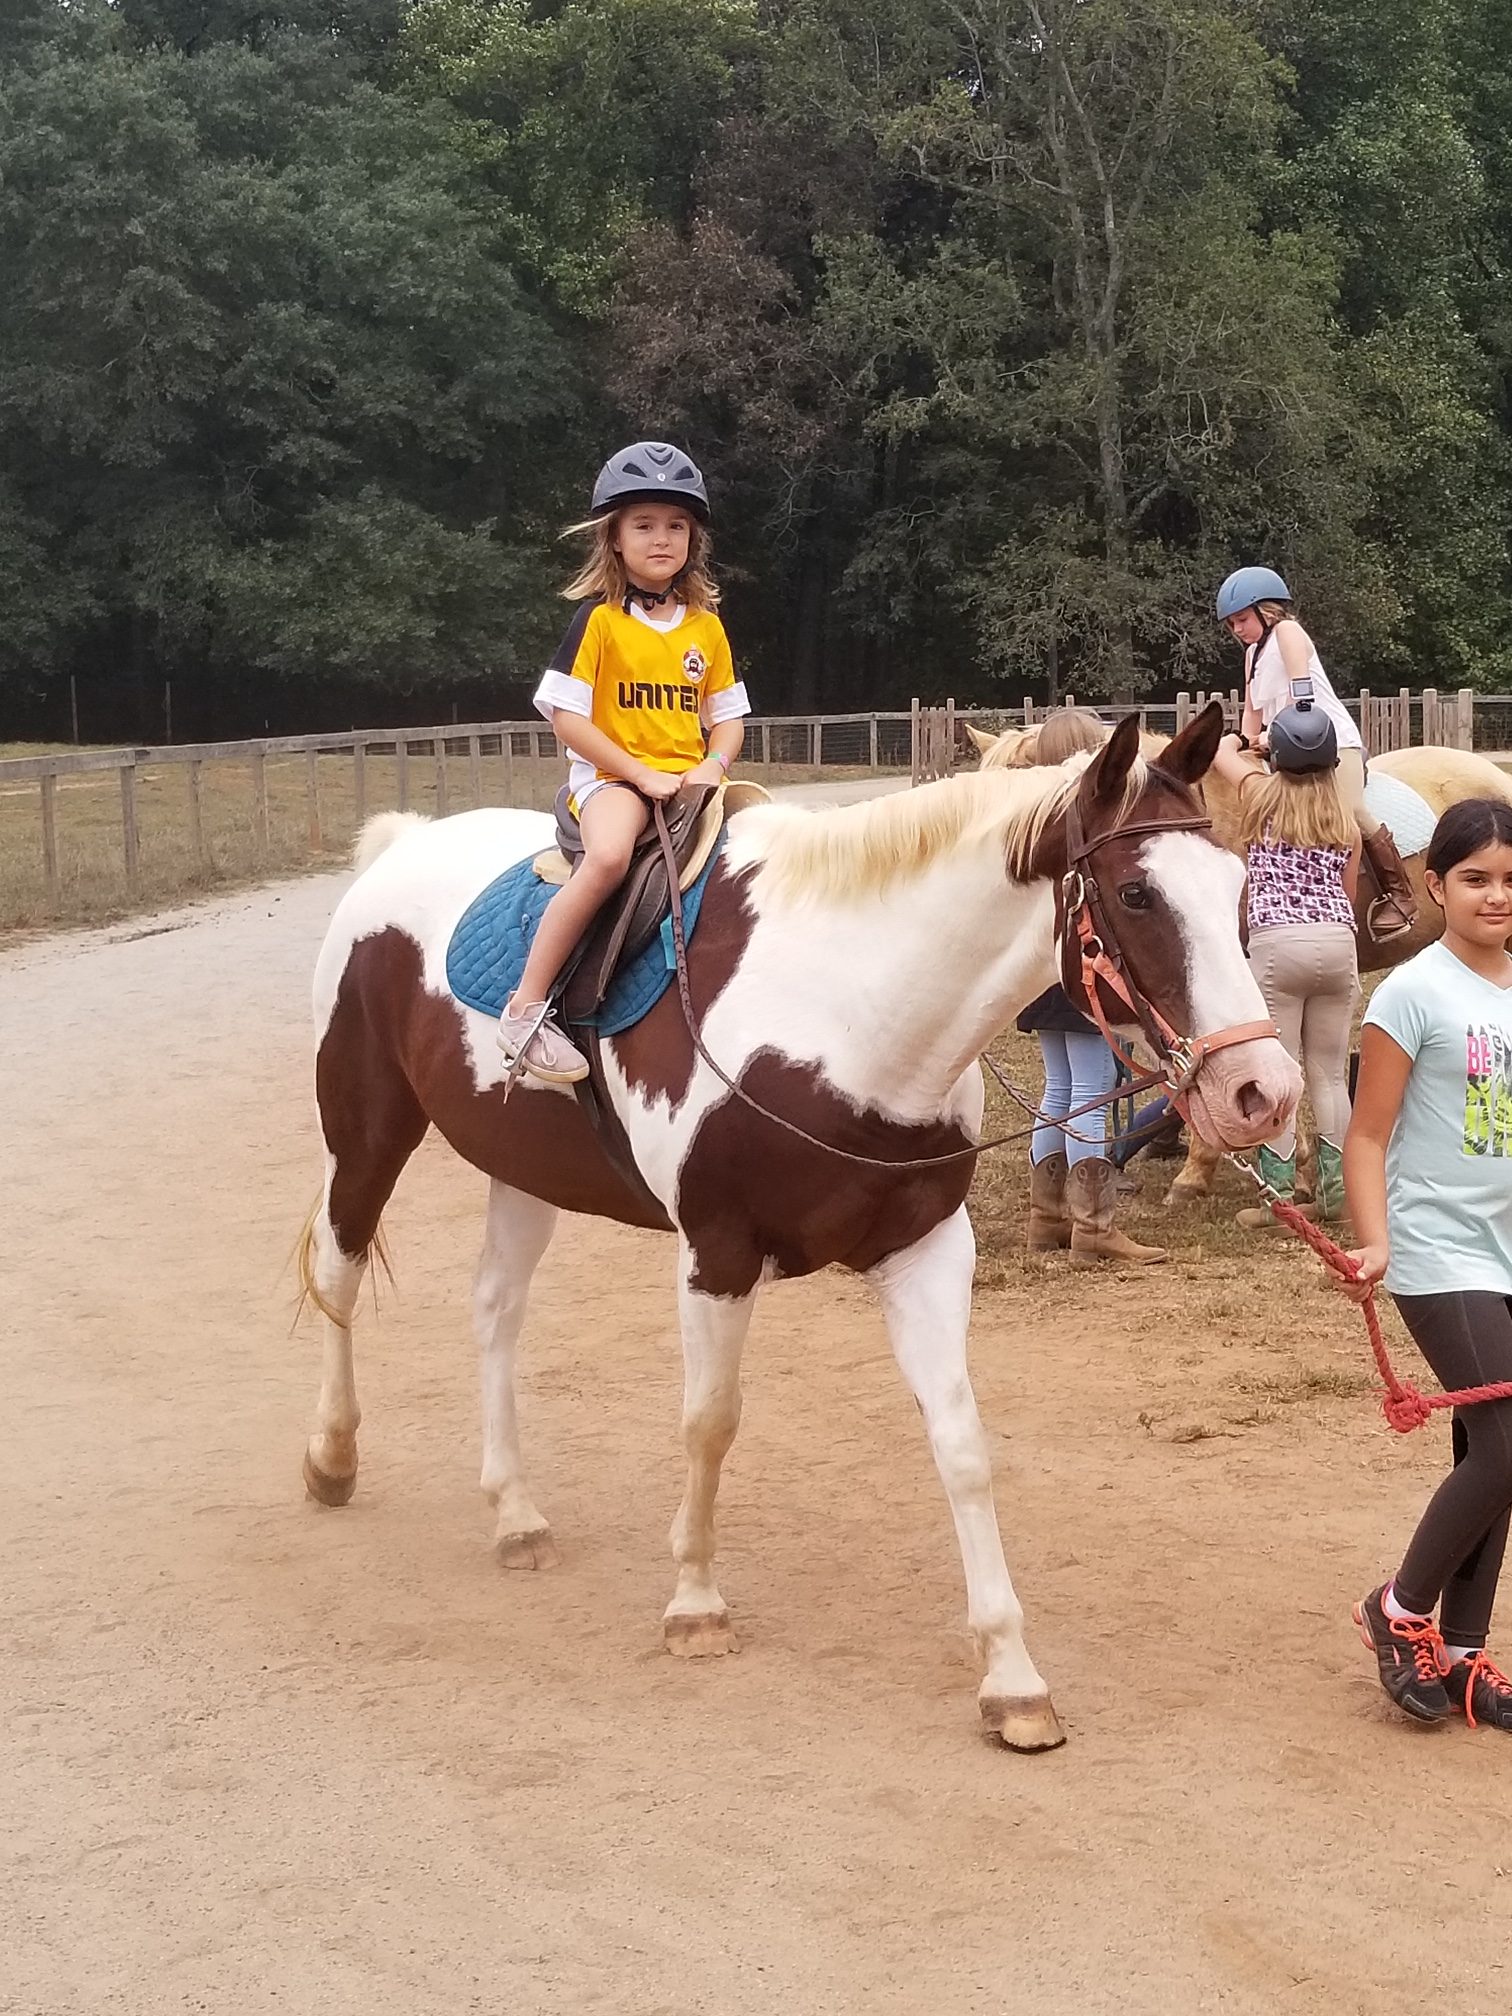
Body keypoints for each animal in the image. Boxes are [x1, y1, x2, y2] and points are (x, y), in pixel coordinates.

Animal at [298, 705, 1299, 1751]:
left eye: (1236, 883)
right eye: (1138, 894)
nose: (1261, 1091)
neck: (845, 1019)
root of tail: (401, 847)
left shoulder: (927, 1253)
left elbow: (962, 1445)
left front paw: (1012, 1676)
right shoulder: (716, 1254)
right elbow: (709, 1423)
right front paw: (695, 1604)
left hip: (522, 1170)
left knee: (495, 1310)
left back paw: (515, 1515)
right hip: (366, 1133)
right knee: (337, 1272)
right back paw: (331, 1458)